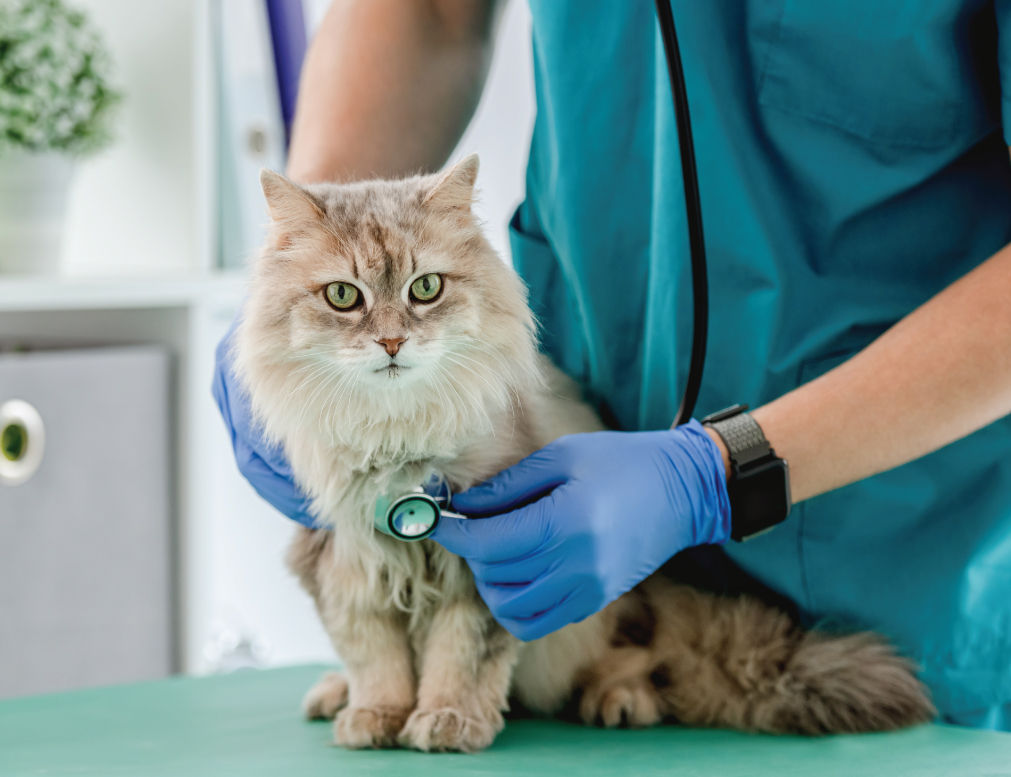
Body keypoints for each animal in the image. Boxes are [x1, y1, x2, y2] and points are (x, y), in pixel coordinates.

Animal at [232, 153, 934, 751]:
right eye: (343, 296)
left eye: (425, 288)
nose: (392, 343)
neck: (397, 438)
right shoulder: (342, 562)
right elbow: (375, 658)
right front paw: (376, 715)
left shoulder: (484, 568)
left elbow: (461, 656)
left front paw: (448, 719)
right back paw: (334, 694)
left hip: (600, 611)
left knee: (641, 658)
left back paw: (618, 700)